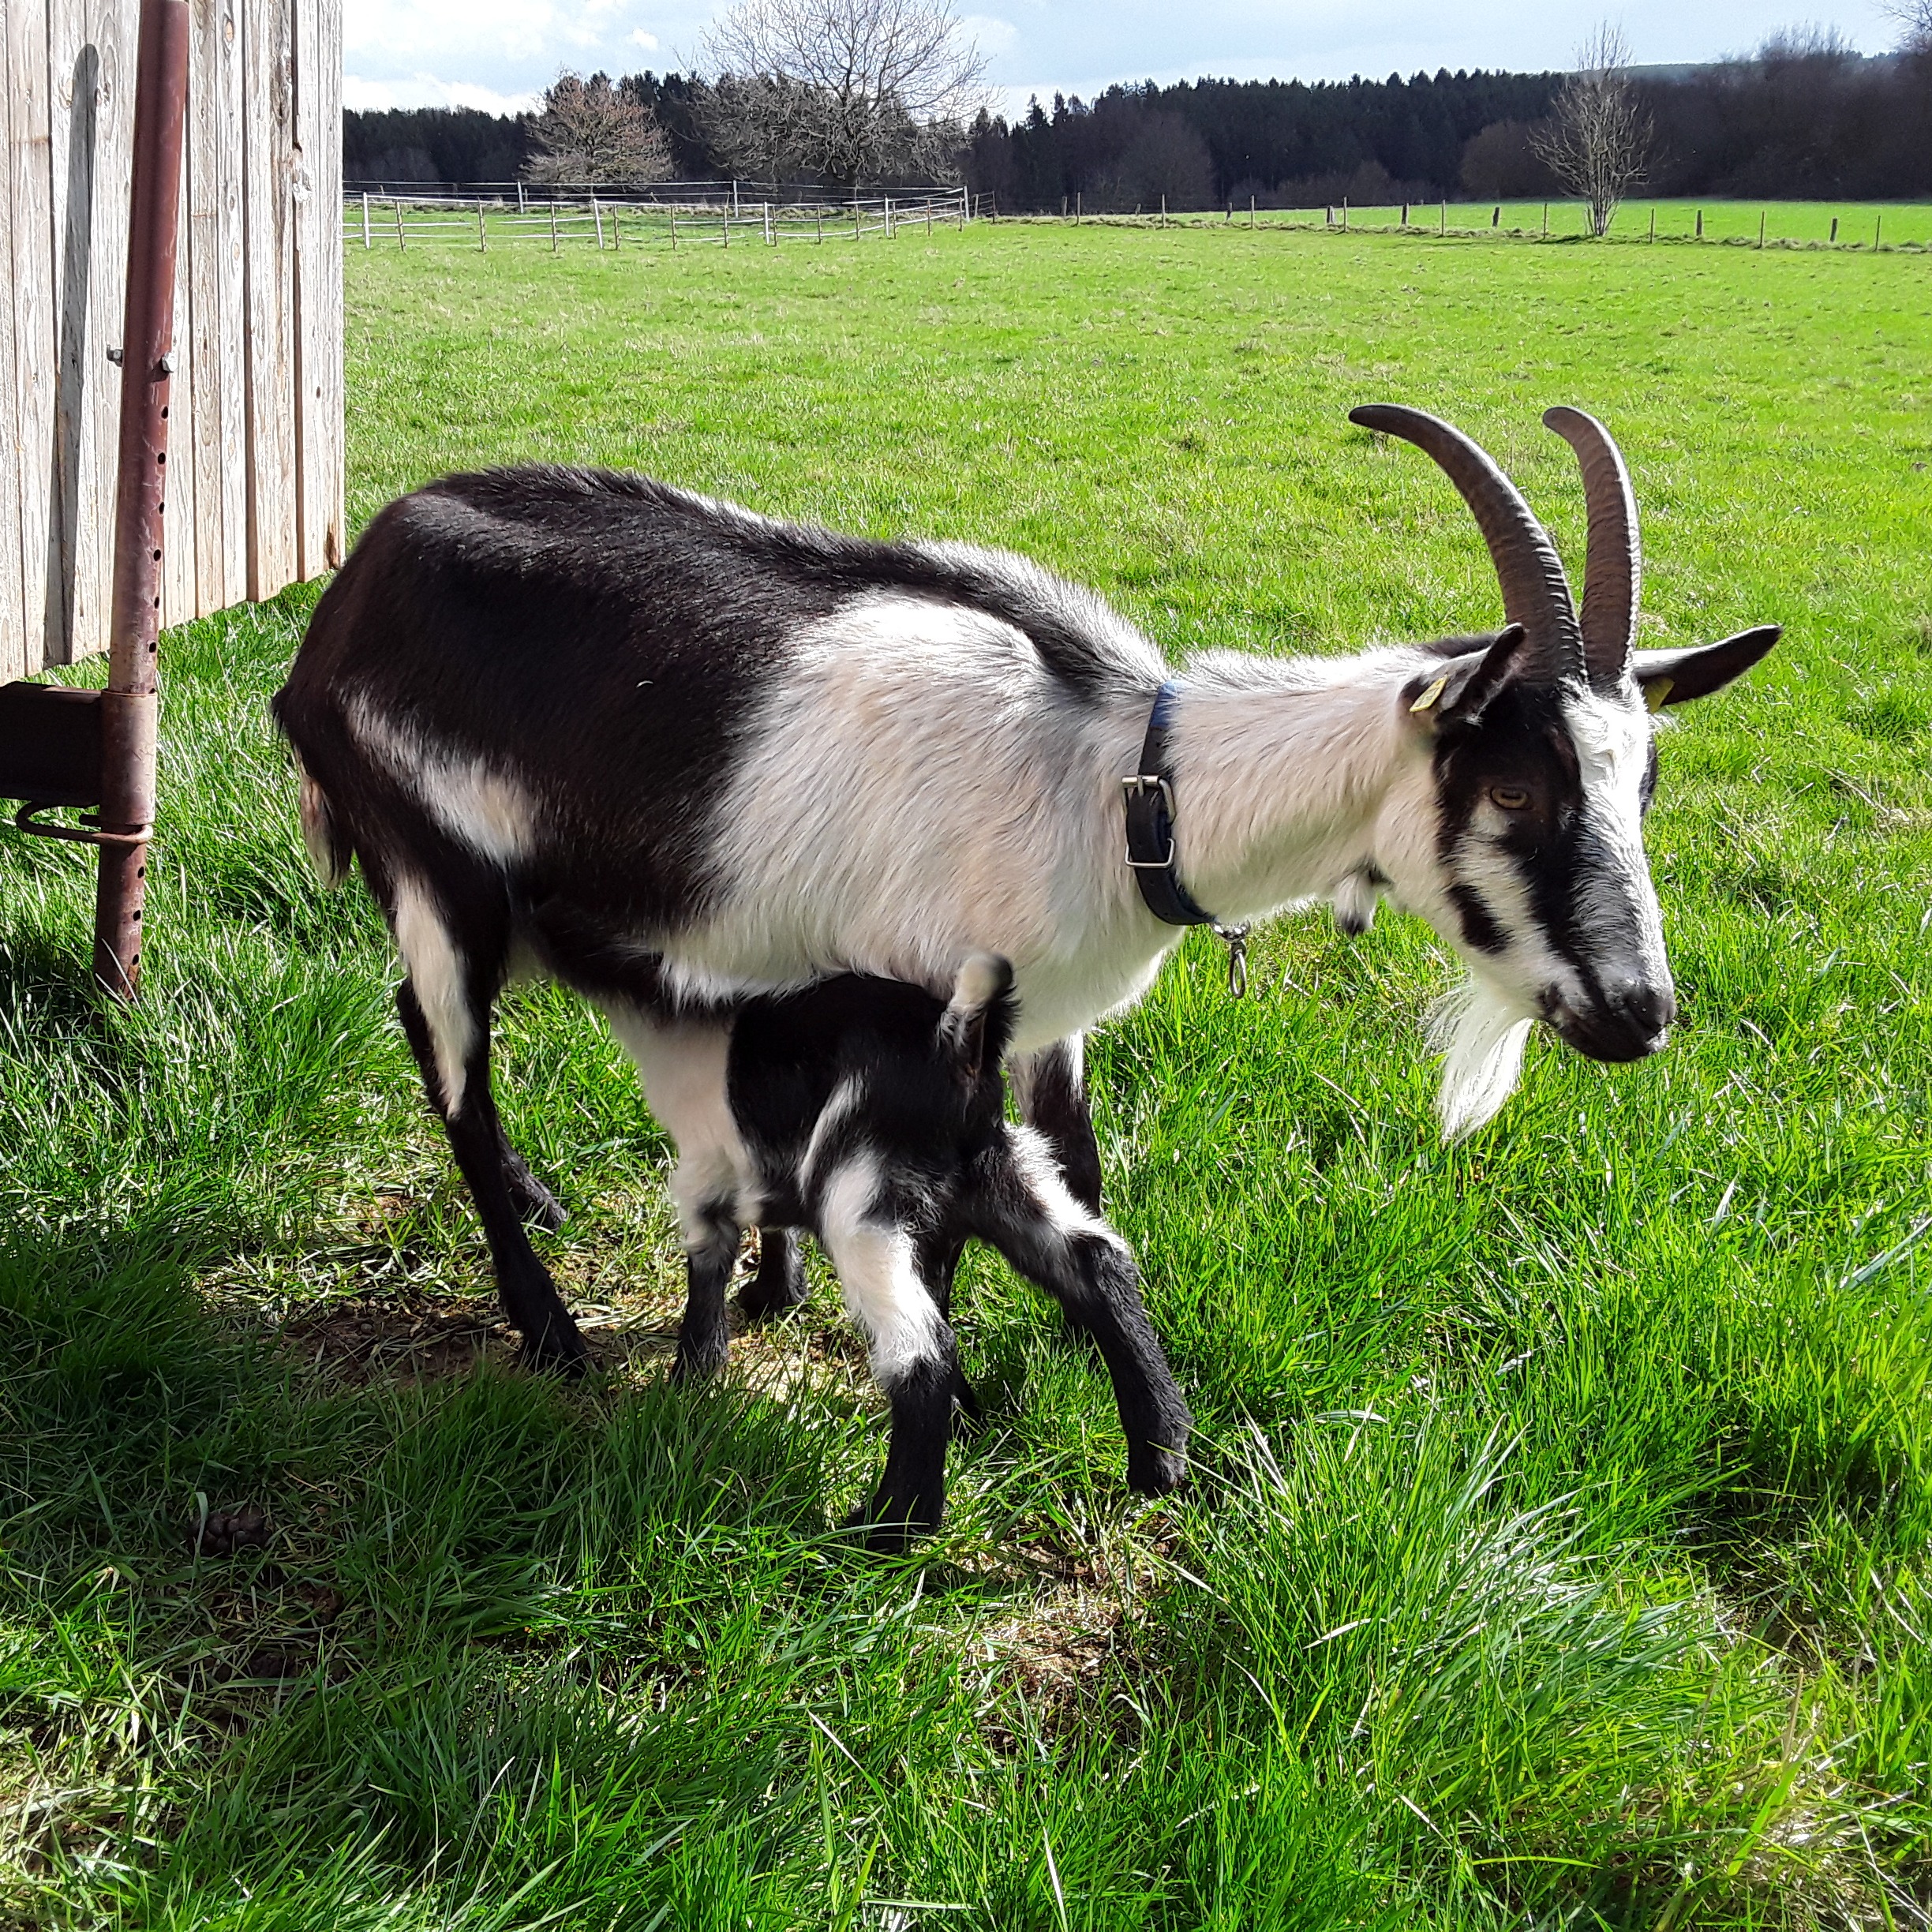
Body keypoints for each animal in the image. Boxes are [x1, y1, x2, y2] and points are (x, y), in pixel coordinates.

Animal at [276, 407, 1777, 1375]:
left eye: (1644, 782)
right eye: (1514, 787)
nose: (1638, 1013)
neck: (1122, 783)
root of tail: (342, 599)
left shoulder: (1043, 1020)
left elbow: (1081, 1164)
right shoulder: (932, 1006)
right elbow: (933, 1213)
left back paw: (547, 1210)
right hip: (436, 873)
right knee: (446, 1062)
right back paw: (545, 1326)